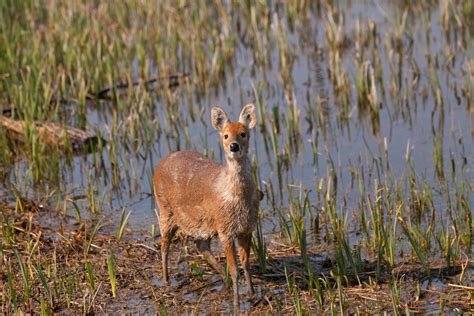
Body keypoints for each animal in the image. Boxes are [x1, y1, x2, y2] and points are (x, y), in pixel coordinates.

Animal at [154, 103, 260, 308]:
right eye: (225, 135)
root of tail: (159, 164)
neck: (237, 198)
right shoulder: (225, 229)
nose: (234, 146)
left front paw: (251, 294)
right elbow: (235, 268)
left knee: (200, 245)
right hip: (165, 210)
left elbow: (246, 264)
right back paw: (166, 280)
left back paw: (223, 280)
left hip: (202, 223)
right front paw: (237, 303)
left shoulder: (246, 228)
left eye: (243, 133)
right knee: (164, 244)